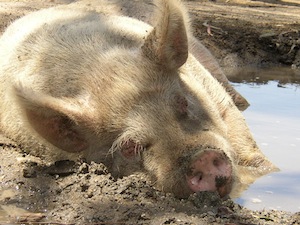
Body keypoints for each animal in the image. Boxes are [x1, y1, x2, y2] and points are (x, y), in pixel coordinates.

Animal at [0, 0, 276, 197]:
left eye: (183, 102)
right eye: (130, 146)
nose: (204, 159)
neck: (97, 67)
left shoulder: (217, 99)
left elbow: (249, 148)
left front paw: (273, 172)